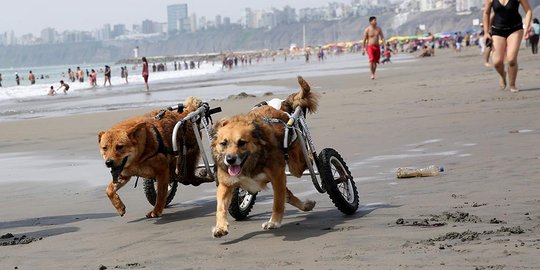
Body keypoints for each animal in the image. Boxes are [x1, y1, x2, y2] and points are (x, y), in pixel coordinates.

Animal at [211, 75, 318, 236]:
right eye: (223, 143)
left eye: (242, 142)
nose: (230, 160)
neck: (252, 162)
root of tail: (280, 108)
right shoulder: (226, 183)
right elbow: (220, 207)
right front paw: (220, 227)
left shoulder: (277, 176)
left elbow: (278, 202)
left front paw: (274, 222)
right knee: (289, 194)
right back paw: (306, 205)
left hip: (295, 166)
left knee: (307, 163)